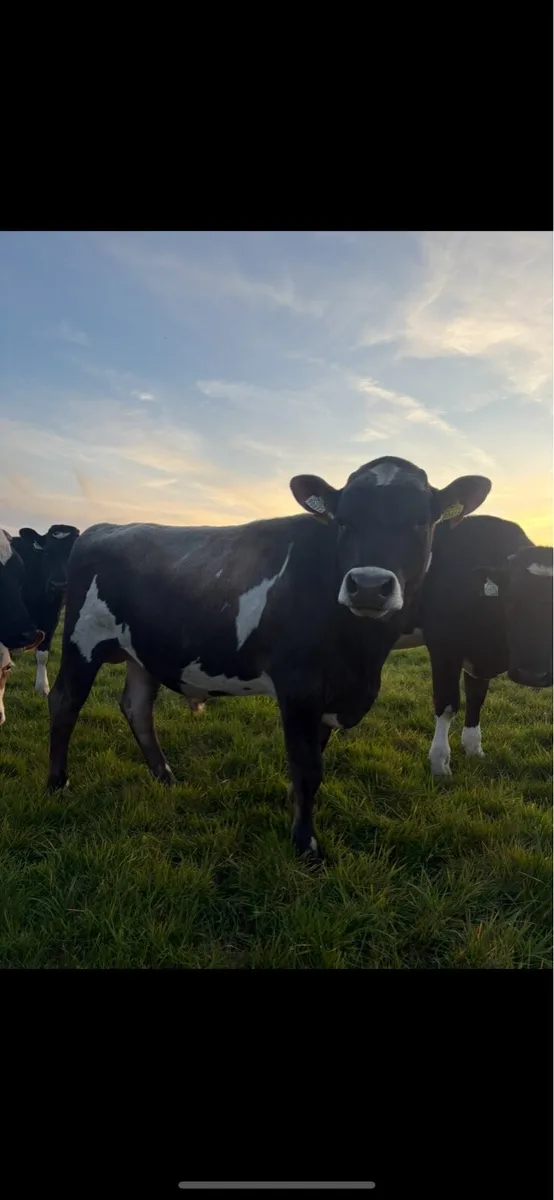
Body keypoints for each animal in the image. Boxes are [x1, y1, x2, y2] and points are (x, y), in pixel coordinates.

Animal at [46, 457, 490, 859]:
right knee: (65, 701)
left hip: (143, 652)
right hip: (82, 640)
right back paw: (57, 783)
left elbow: (311, 760)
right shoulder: (299, 686)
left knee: (137, 707)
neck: (362, 654)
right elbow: (308, 765)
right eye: (344, 521)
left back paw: (165, 777)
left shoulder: (330, 692)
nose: (368, 585)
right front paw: (306, 843)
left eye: (421, 522)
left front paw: (294, 812)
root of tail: (106, 527)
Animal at [393, 515, 553, 777]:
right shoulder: (443, 647)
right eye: (510, 601)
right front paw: (440, 763)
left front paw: (473, 749)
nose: (532, 675)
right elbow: (447, 703)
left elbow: (477, 697)